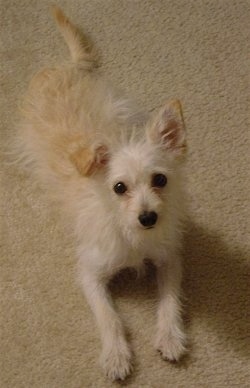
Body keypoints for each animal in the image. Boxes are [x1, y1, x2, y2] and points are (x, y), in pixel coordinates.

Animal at [15, 6, 188, 382]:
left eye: (160, 180)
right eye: (119, 187)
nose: (149, 217)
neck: (130, 233)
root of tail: (62, 68)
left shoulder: (169, 257)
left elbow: (170, 300)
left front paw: (170, 336)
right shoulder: (89, 273)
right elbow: (109, 317)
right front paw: (116, 355)